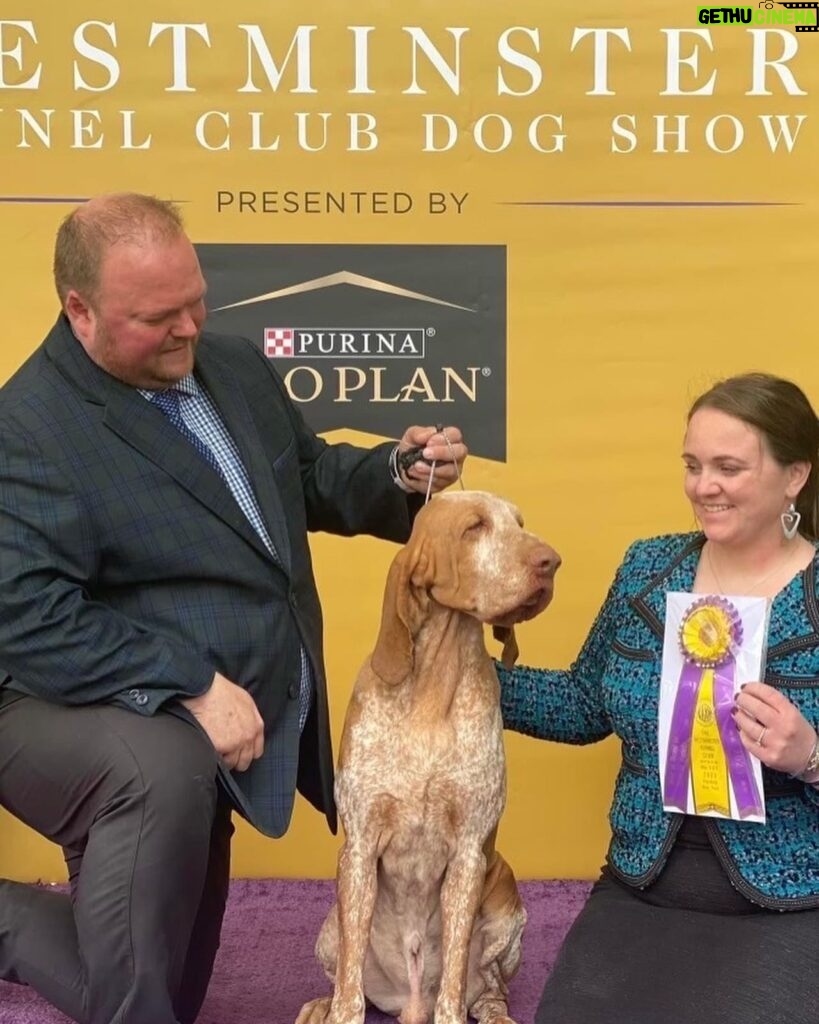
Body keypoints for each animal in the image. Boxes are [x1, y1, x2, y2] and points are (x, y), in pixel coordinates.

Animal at [296, 491, 561, 1019]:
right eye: (474, 527)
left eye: (520, 523)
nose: (552, 562)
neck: (433, 685)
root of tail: (408, 1001)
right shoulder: (359, 848)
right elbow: (350, 993)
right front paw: (338, 1014)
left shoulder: (468, 855)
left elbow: (454, 986)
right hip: (329, 928)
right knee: (346, 978)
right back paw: (320, 1006)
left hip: (504, 902)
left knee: (488, 990)